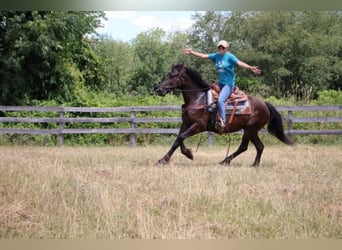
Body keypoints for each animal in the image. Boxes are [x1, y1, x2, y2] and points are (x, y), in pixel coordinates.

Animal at [155, 63, 294, 167]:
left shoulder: (198, 126)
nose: (159, 89)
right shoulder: (186, 123)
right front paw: (170, 157)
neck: (198, 99)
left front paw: (182, 155)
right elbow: (178, 140)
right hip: (252, 130)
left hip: (250, 128)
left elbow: (181, 137)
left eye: (173, 75)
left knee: (244, 147)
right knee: (259, 146)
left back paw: (224, 161)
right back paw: (254, 164)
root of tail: (264, 104)